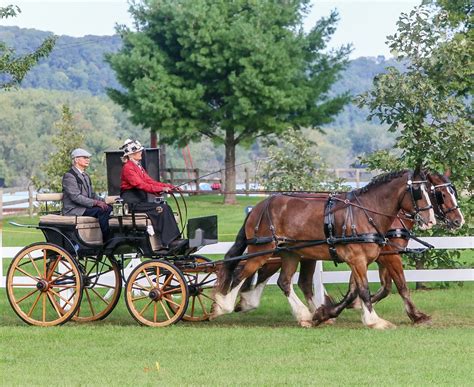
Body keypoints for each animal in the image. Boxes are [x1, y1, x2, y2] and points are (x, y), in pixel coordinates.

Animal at [234, 171, 466, 326]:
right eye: (441, 194)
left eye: (452, 191)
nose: (459, 220)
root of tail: (257, 208)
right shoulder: (385, 257)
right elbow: (398, 286)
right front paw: (415, 315)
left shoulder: (374, 256)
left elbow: (373, 287)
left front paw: (342, 308)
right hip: (272, 251)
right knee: (256, 272)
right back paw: (243, 301)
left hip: (300, 254)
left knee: (296, 281)